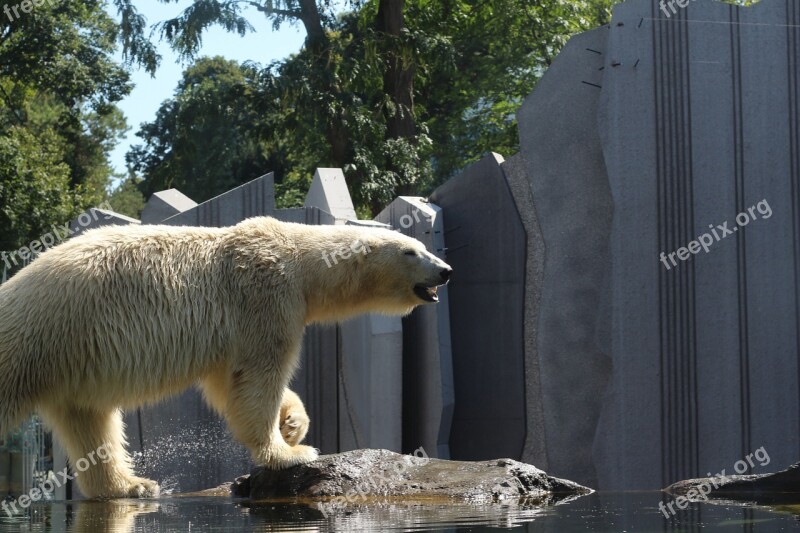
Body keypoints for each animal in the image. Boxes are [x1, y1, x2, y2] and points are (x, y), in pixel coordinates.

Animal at [0, 214, 450, 496]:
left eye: (420, 245)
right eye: (411, 251)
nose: (445, 270)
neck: (301, 260)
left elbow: (228, 382)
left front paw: (293, 424)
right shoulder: (265, 296)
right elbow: (258, 378)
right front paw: (289, 453)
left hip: (68, 361)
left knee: (90, 422)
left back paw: (132, 486)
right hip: (37, 337)